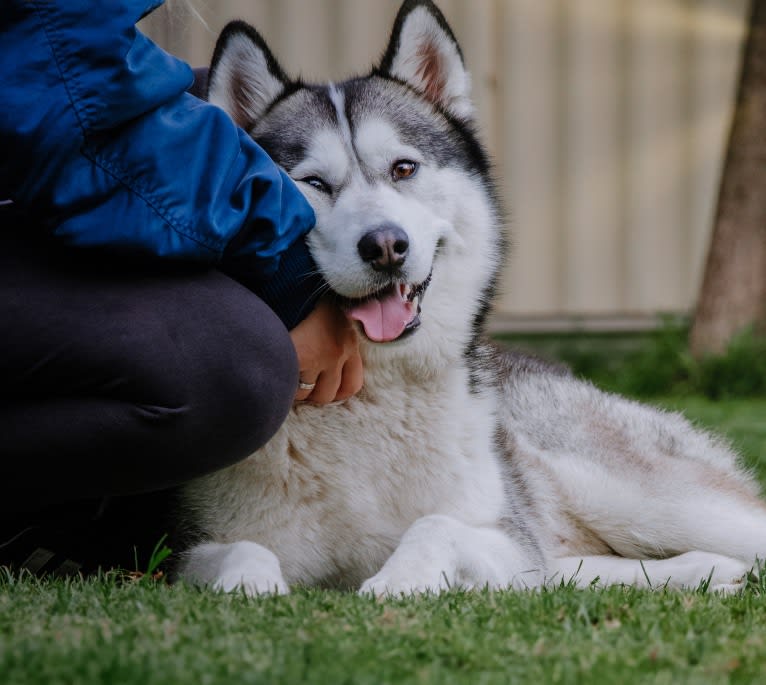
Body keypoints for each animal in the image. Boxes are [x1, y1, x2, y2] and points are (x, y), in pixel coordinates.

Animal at [176, 0, 766, 596]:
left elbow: (436, 525)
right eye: (313, 183)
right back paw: (709, 572)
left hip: (644, 501)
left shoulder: (513, 544)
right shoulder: (179, 554)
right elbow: (242, 550)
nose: (385, 246)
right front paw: (253, 591)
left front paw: (395, 584)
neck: (373, 398)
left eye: (404, 168)